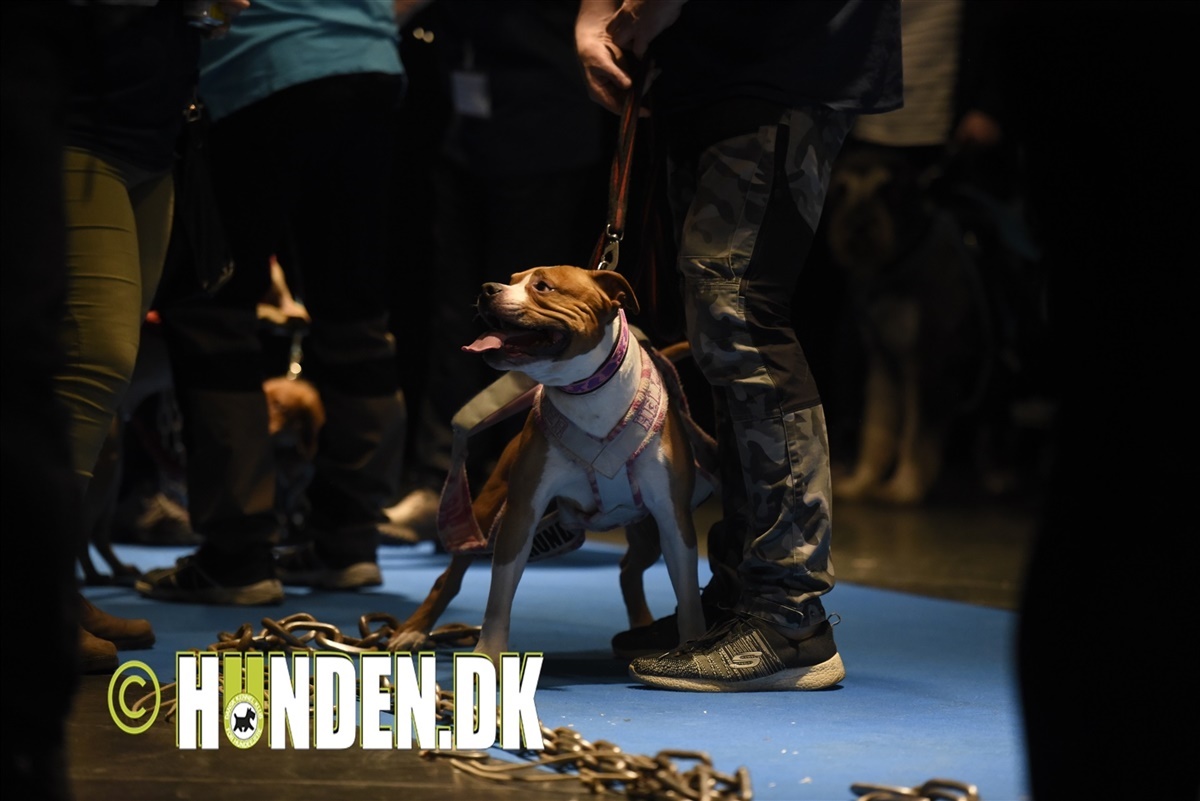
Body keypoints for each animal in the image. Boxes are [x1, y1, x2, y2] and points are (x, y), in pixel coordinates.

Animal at [401, 265, 713, 662]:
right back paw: (410, 631)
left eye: (543, 287)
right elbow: (499, 597)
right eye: (511, 279)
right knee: (449, 576)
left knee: (629, 570)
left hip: (647, 530)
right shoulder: (521, 514)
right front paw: (489, 655)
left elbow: (688, 594)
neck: (587, 391)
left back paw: (642, 629)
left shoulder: (673, 518)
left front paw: (693, 643)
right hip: (485, 512)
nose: (487, 289)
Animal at [824, 145, 989, 505]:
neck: (897, 263)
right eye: (840, 191)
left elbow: (917, 433)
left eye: (889, 191)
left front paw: (905, 487)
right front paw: (862, 481)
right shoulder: (884, 362)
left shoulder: (928, 361)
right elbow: (877, 426)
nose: (858, 228)